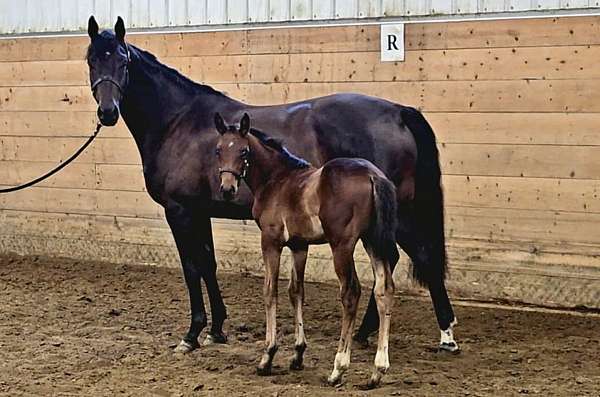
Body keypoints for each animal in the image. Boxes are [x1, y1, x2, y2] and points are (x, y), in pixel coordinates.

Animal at [214, 113, 398, 386]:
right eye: (218, 150)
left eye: (243, 151)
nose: (227, 189)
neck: (277, 180)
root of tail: (373, 175)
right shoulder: (299, 246)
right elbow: (296, 291)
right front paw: (297, 354)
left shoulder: (271, 241)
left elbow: (270, 291)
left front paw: (267, 356)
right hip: (373, 241)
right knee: (384, 290)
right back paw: (377, 371)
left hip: (342, 245)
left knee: (351, 292)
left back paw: (338, 368)